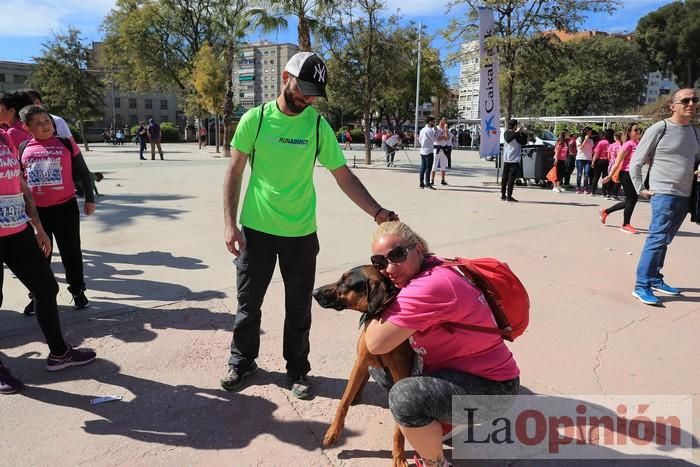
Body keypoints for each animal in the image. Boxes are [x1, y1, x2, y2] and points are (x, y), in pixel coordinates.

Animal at [314, 266, 416, 467]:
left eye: (345, 282)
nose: (314, 292)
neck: (378, 314)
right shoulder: (360, 361)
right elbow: (343, 402)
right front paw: (333, 433)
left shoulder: (400, 373)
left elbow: (398, 429)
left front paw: (399, 455)